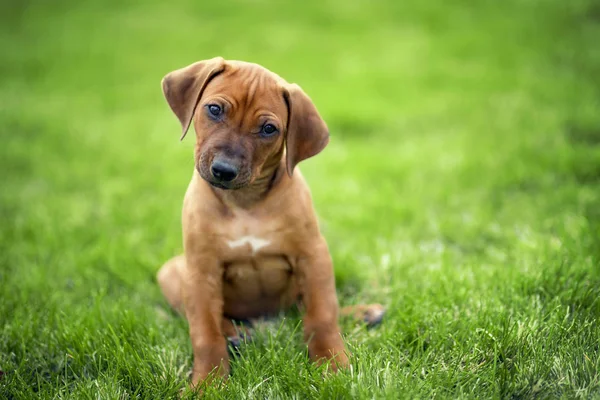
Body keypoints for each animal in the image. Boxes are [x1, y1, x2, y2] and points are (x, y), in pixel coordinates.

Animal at [158, 57, 384, 390]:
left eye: (268, 129)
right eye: (214, 109)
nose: (224, 170)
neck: (245, 203)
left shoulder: (313, 256)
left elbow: (322, 316)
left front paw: (332, 365)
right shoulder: (200, 269)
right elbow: (204, 332)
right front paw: (207, 383)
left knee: (306, 309)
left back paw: (363, 312)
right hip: (172, 271)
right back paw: (235, 333)